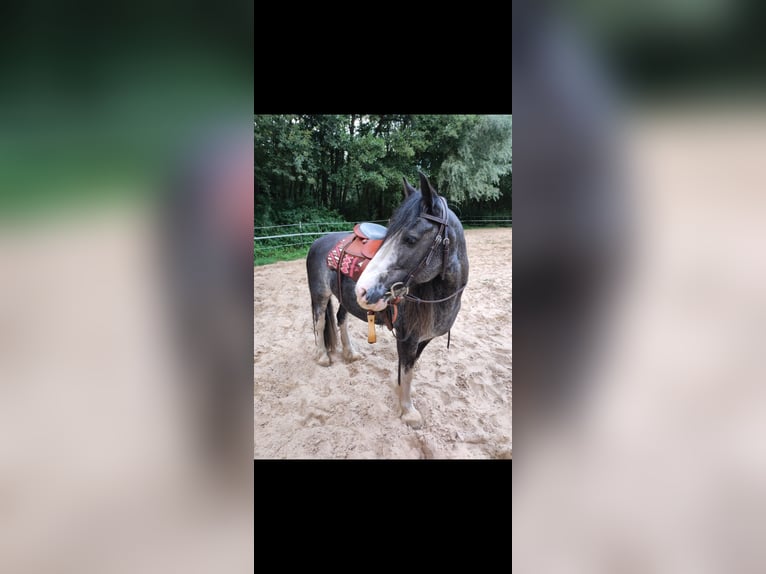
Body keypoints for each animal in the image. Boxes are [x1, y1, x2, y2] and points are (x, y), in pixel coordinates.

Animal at [308, 171, 472, 428]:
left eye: (411, 239)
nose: (363, 289)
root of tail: (318, 241)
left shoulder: (423, 339)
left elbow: (409, 368)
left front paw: (400, 393)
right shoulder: (406, 338)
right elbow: (407, 369)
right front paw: (408, 411)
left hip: (345, 298)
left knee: (341, 318)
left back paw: (350, 353)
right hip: (319, 295)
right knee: (320, 322)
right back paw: (323, 356)